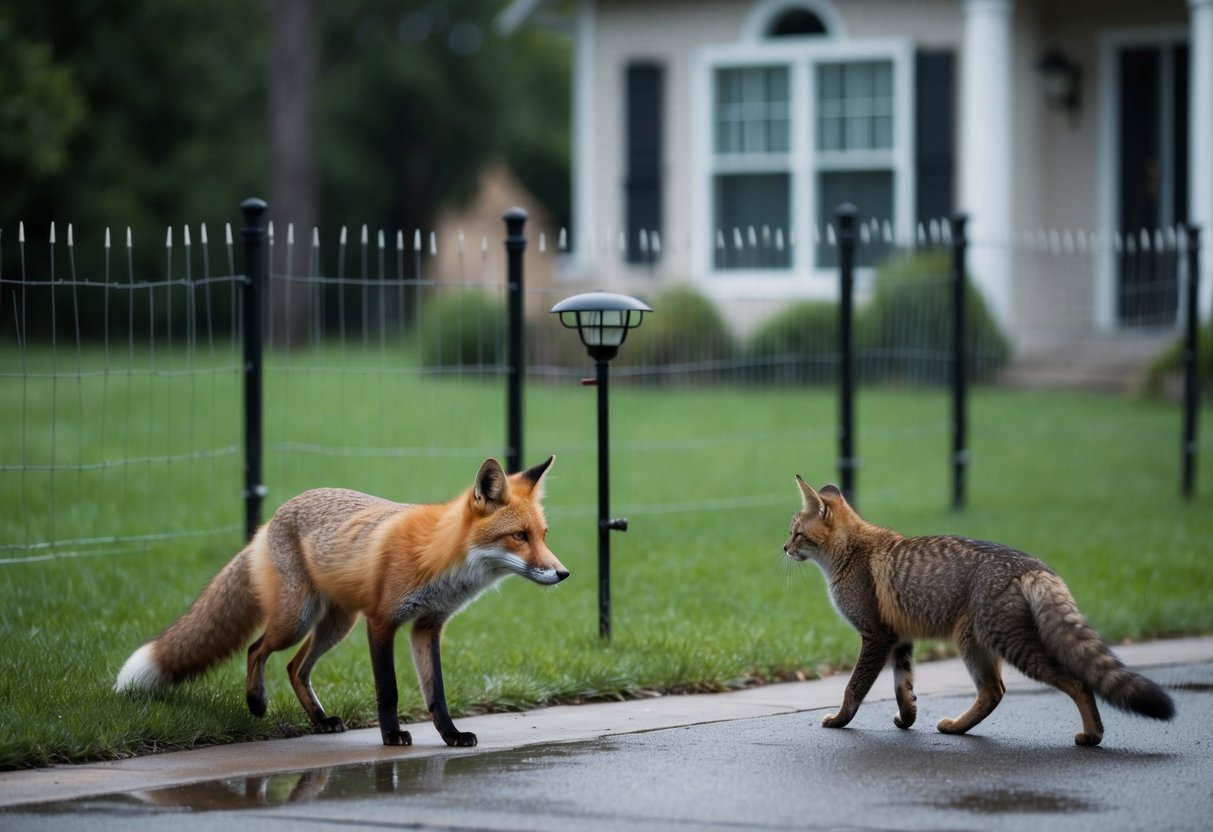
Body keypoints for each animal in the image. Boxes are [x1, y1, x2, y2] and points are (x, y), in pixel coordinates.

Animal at [115, 456, 567, 748]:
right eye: (519, 536)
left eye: (544, 535)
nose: (563, 574)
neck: (441, 559)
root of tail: (271, 518)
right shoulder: (382, 621)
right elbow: (389, 690)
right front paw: (392, 737)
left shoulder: (427, 626)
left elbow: (435, 692)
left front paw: (451, 736)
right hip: (297, 619)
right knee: (256, 649)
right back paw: (256, 703)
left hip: (335, 625)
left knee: (295, 668)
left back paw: (320, 721)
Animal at [783, 476, 1175, 747]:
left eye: (795, 533)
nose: (784, 547)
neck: (853, 551)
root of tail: (1033, 566)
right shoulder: (900, 639)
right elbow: (903, 688)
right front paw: (907, 719)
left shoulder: (876, 637)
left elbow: (854, 688)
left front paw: (840, 720)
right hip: (983, 645)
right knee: (994, 692)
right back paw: (957, 727)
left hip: (999, 645)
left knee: (1070, 683)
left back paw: (1092, 736)